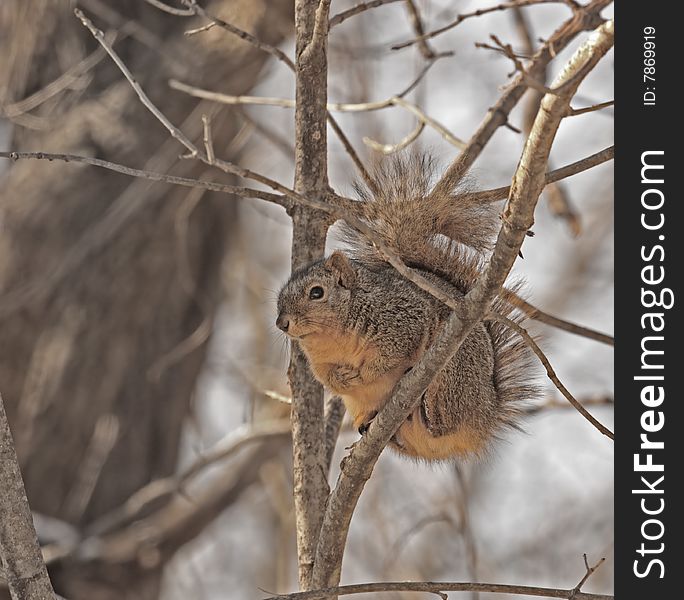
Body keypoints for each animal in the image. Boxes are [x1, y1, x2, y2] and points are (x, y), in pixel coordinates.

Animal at [276, 154, 536, 460]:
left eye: (316, 293)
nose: (282, 323)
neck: (334, 336)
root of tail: (487, 412)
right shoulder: (319, 362)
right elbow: (327, 378)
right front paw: (344, 379)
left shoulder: (404, 318)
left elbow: (390, 355)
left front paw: (365, 373)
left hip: (455, 368)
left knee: (443, 421)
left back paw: (428, 404)